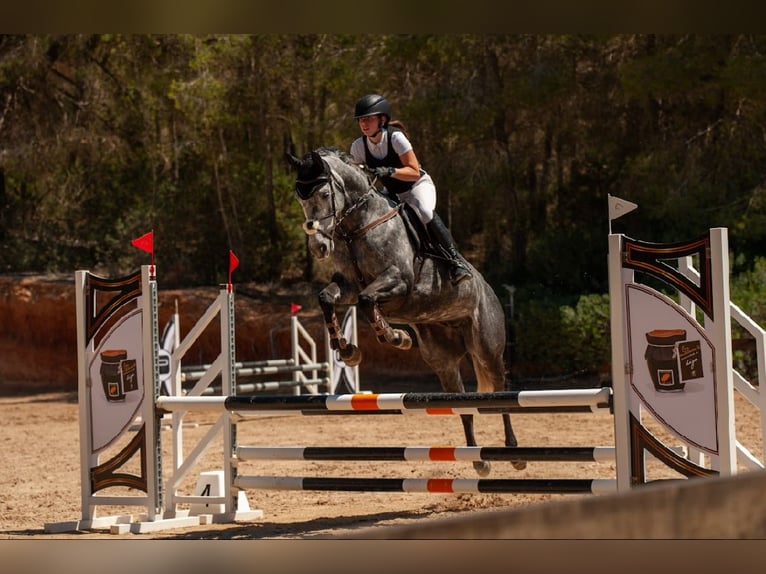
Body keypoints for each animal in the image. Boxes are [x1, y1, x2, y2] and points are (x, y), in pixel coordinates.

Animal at [287, 147, 525, 476]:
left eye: (324, 194)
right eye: (300, 200)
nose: (318, 247)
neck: (358, 226)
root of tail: (489, 290)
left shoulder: (399, 281)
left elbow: (367, 300)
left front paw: (396, 337)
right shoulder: (347, 286)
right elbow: (327, 298)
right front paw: (348, 350)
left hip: (487, 348)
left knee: (502, 393)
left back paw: (514, 454)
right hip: (443, 361)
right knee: (462, 403)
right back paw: (479, 461)